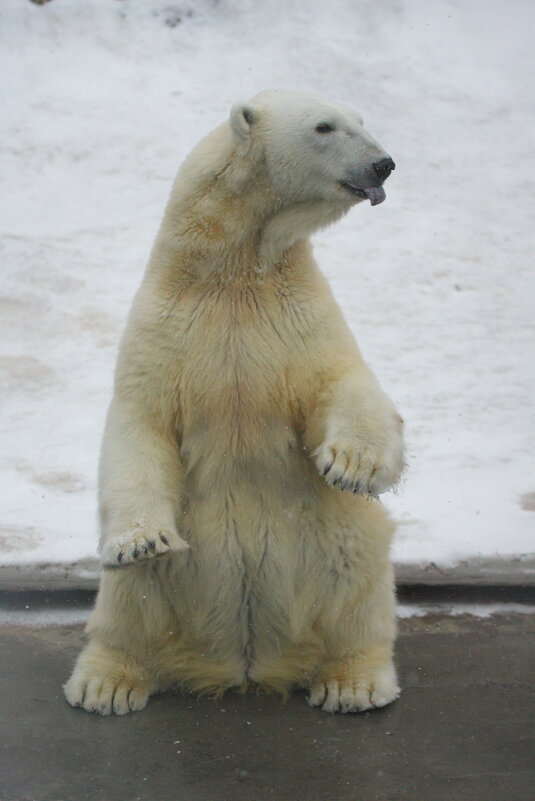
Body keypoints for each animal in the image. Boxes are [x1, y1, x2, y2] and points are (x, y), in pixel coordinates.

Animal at [65, 90, 404, 716]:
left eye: (361, 121)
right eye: (325, 126)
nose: (383, 164)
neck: (233, 269)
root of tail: (245, 664)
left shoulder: (295, 317)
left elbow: (340, 381)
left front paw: (354, 464)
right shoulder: (169, 324)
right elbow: (140, 421)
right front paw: (141, 539)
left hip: (335, 545)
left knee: (360, 589)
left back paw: (351, 683)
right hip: (172, 576)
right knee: (128, 605)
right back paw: (106, 684)